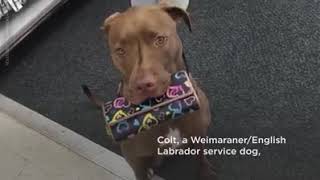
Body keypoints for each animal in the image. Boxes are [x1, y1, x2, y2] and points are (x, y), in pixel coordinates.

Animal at [101, 4, 214, 180]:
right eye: (120, 51)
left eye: (160, 40)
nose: (143, 85)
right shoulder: (136, 162)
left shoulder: (199, 133)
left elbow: (201, 157)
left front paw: (206, 172)